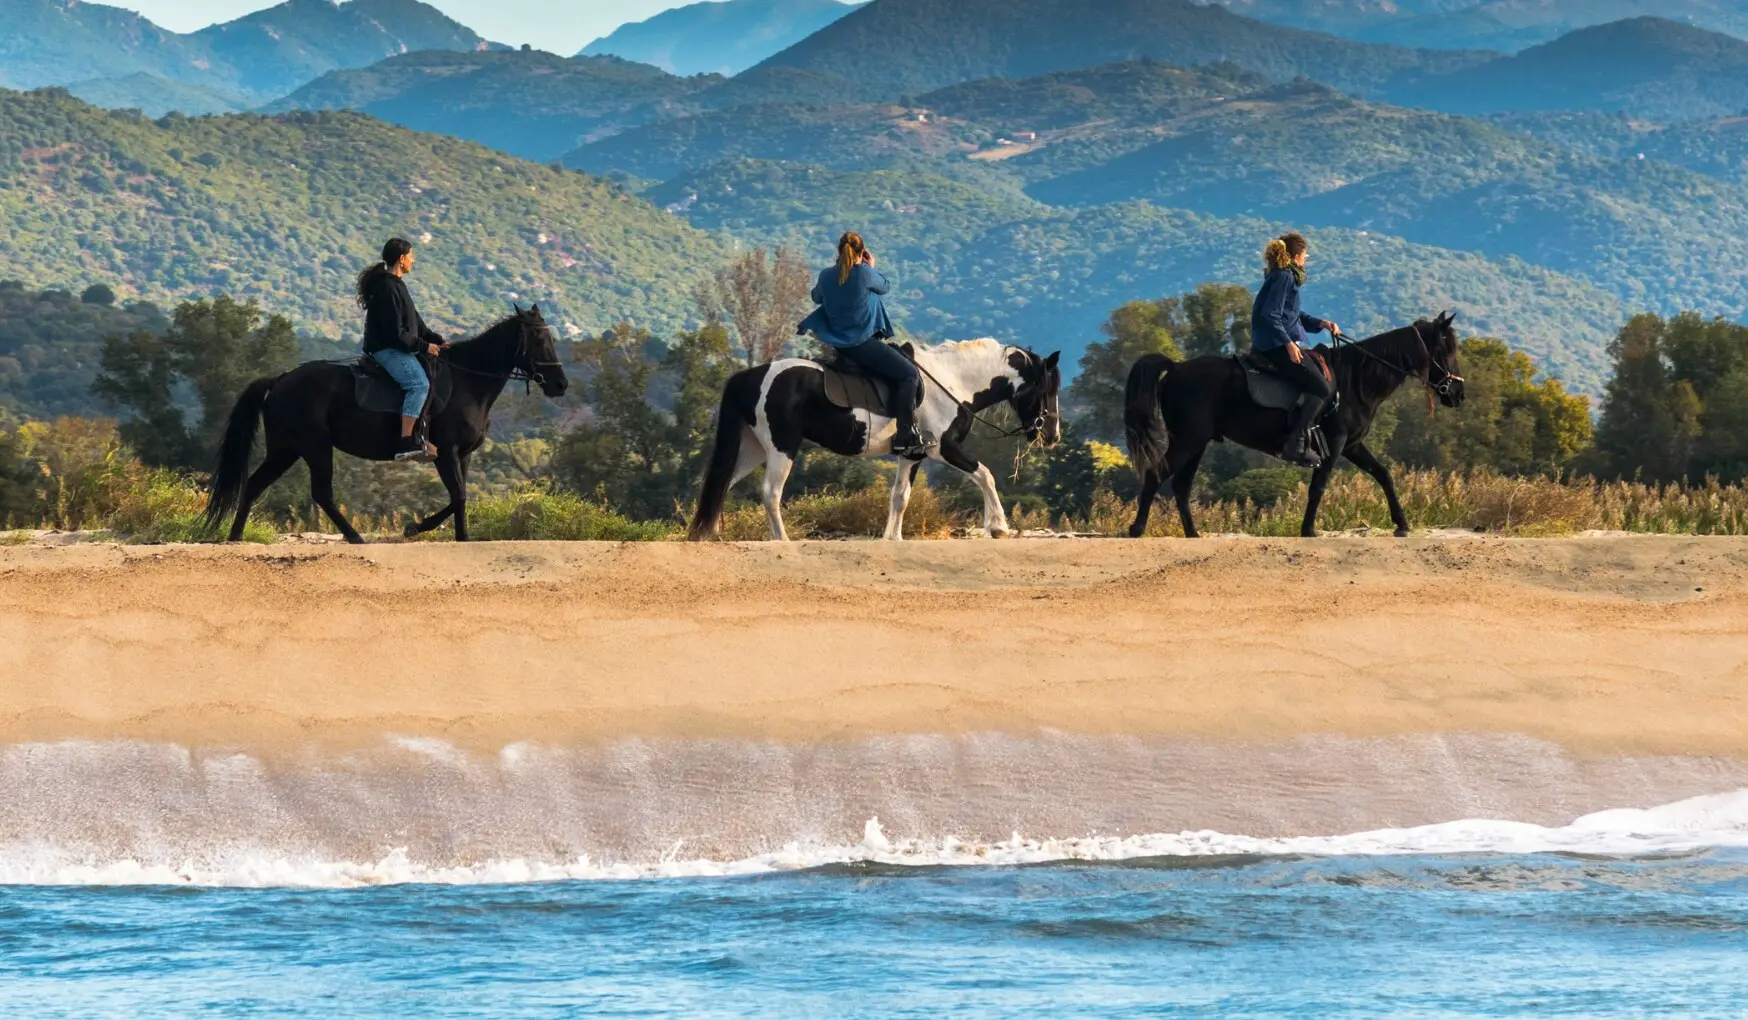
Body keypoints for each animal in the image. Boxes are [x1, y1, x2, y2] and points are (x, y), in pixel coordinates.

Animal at [204, 305, 568, 544]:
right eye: (537, 340)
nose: (560, 385)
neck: (468, 381)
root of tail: (280, 380)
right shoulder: (445, 452)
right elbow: (460, 496)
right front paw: (417, 528)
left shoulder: (463, 454)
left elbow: (460, 498)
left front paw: (456, 536)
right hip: (314, 446)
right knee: (321, 492)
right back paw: (354, 538)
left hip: (285, 449)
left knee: (254, 484)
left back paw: (235, 538)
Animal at [688, 338, 1062, 541]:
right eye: (1047, 389)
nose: (1051, 436)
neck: (953, 381)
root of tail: (750, 375)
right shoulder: (944, 449)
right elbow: (986, 474)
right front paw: (998, 526)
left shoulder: (912, 455)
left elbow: (900, 497)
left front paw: (892, 537)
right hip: (782, 448)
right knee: (770, 493)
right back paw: (781, 540)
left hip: (752, 449)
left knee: (721, 484)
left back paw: (710, 534)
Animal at [1124, 312, 1466, 539]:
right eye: (1446, 349)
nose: (1459, 394)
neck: (1356, 380)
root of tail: (1176, 368)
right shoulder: (1336, 443)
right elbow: (1319, 486)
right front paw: (1308, 530)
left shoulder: (1353, 445)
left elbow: (1383, 475)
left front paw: (1402, 525)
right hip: (1188, 440)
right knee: (1156, 474)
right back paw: (1137, 529)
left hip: (1196, 442)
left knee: (1181, 486)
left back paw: (1193, 534)